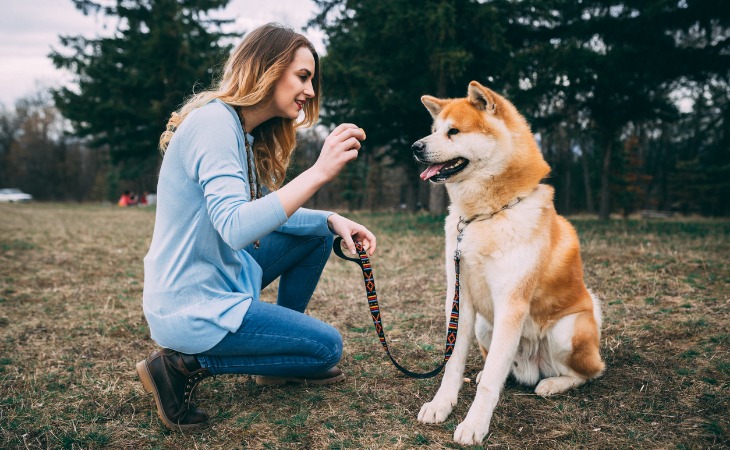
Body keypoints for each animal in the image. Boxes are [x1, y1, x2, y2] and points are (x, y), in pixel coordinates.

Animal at [410, 81, 604, 446]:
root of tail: (532, 367)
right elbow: (453, 364)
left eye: (453, 132)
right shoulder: (459, 299)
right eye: (434, 130)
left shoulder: (511, 303)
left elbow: (489, 386)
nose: (415, 147)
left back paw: (552, 384)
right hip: (485, 327)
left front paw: (474, 425)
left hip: (566, 330)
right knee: (501, 366)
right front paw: (441, 405)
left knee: (590, 372)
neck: (484, 216)